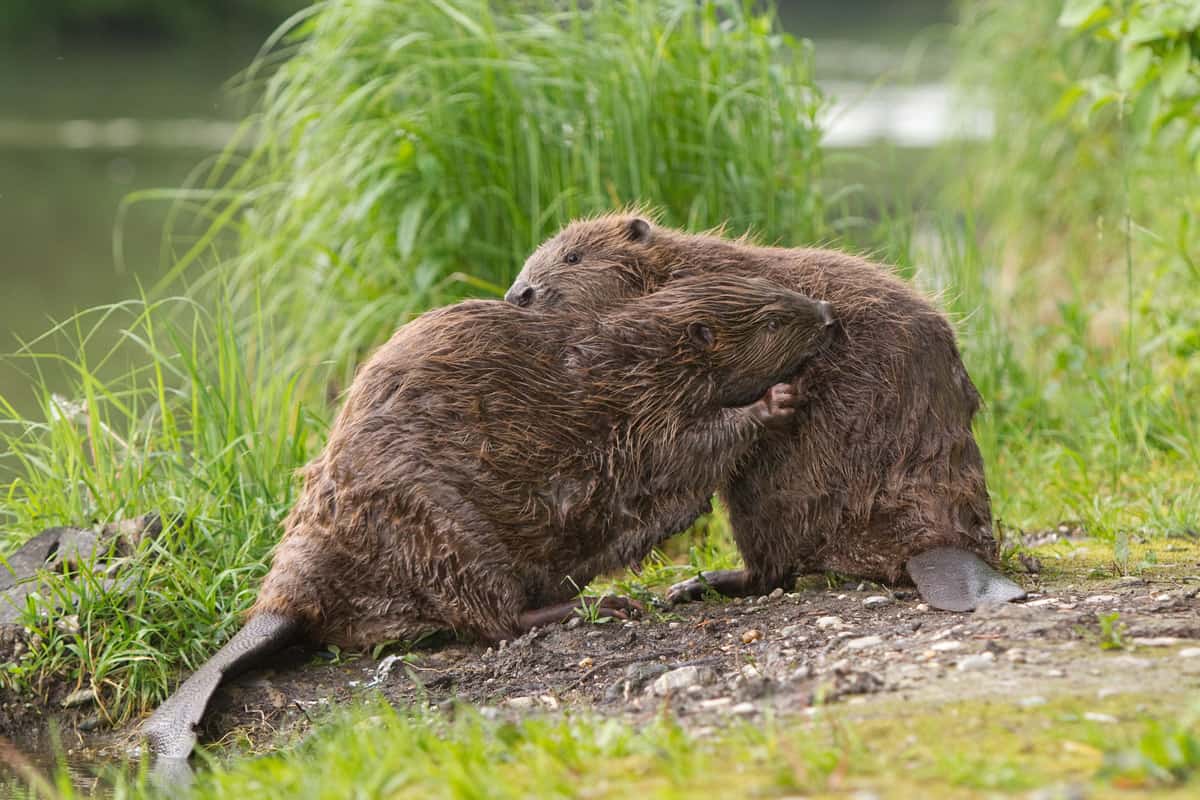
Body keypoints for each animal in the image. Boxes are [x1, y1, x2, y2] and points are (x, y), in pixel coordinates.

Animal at [140, 277, 835, 762]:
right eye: (775, 318)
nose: (827, 316)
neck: (645, 355)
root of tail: (282, 604)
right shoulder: (638, 411)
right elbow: (688, 448)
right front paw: (778, 397)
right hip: (443, 528)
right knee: (492, 621)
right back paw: (606, 606)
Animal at [501, 212, 1027, 614]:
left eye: (572, 257)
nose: (518, 294)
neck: (672, 273)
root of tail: (936, 548)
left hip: (771, 493)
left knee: (774, 571)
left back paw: (694, 586)